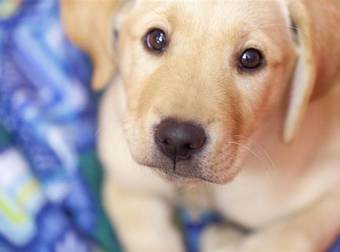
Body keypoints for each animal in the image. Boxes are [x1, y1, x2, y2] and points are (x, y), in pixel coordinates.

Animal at [61, 0, 340, 251]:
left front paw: (224, 241)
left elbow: (288, 238)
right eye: (156, 39)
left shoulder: (329, 196)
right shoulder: (126, 183)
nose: (177, 139)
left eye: (251, 58)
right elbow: (147, 235)